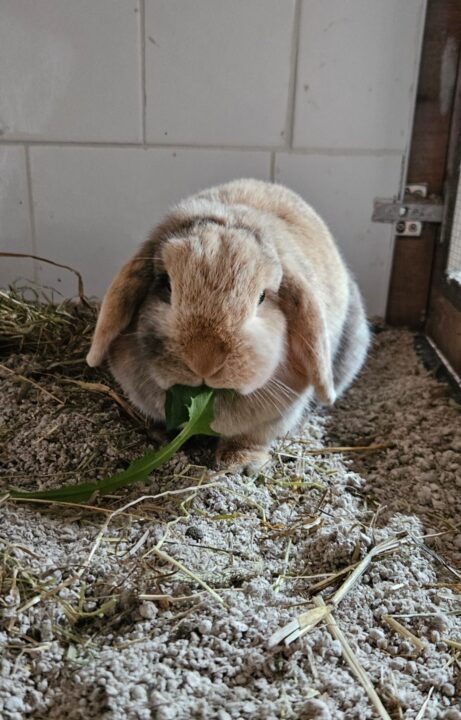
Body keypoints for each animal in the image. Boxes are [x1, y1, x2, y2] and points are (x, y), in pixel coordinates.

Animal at [87, 179, 370, 472]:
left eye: (262, 297)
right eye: (166, 285)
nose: (204, 360)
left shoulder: (269, 421)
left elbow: (250, 438)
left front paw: (241, 463)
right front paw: (160, 436)